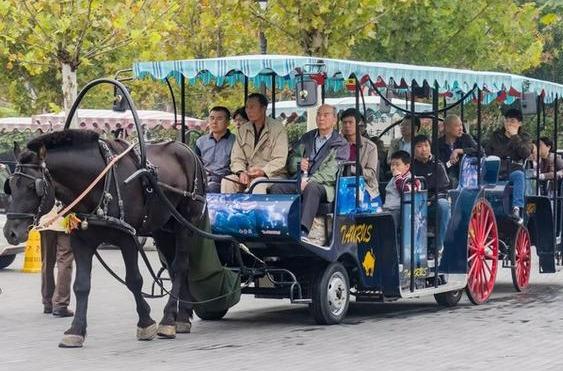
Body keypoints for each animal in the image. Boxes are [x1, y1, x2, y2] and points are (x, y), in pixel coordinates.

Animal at [2, 129, 209, 348]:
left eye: (33, 187)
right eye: (11, 187)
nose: (10, 232)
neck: (98, 183)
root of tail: (186, 149)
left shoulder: (128, 238)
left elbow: (134, 280)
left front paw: (146, 323)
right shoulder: (81, 241)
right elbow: (81, 285)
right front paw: (76, 331)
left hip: (185, 224)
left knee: (180, 266)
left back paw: (168, 320)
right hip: (163, 229)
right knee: (173, 265)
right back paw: (182, 317)